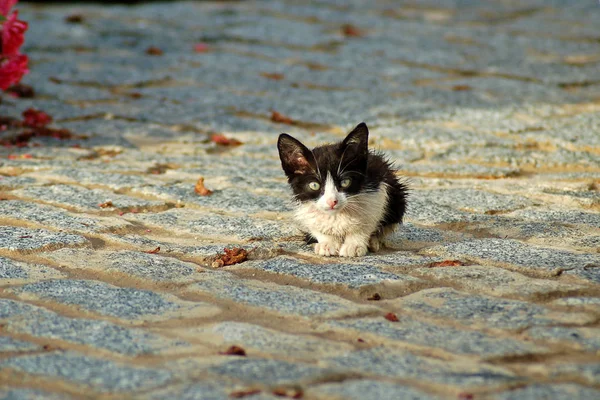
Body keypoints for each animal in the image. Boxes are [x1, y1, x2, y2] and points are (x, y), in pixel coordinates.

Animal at [278, 122, 408, 258]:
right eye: (314, 185)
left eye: (345, 182)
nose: (332, 201)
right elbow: (315, 225)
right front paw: (327, 243)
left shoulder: (377, 190)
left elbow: (367, 221)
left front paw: (354, 245)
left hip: (397, 197)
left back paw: (374, 241)